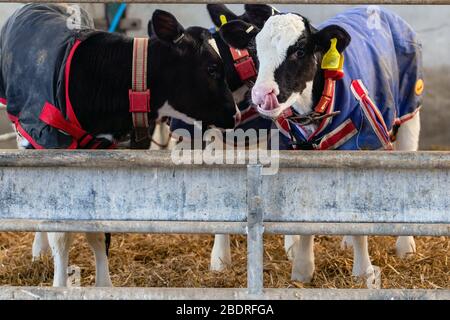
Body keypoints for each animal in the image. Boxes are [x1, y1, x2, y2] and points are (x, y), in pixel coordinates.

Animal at [0, 3, 239, 286]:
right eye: (212, 69)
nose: (236, 114)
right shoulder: (51, 147)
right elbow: (61, 231)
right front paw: (59, 285)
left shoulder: (103, 153)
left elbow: (98, 228)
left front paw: (105, 285)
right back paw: (40, 248)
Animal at [223, 6, 424, 282]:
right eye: (254, 50)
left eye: (299, 51)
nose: (262, 95)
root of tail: (376, 8)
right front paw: (302, 269)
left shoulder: (357, 149)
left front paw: (363, 272)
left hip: (409, 112)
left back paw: (406, 246)